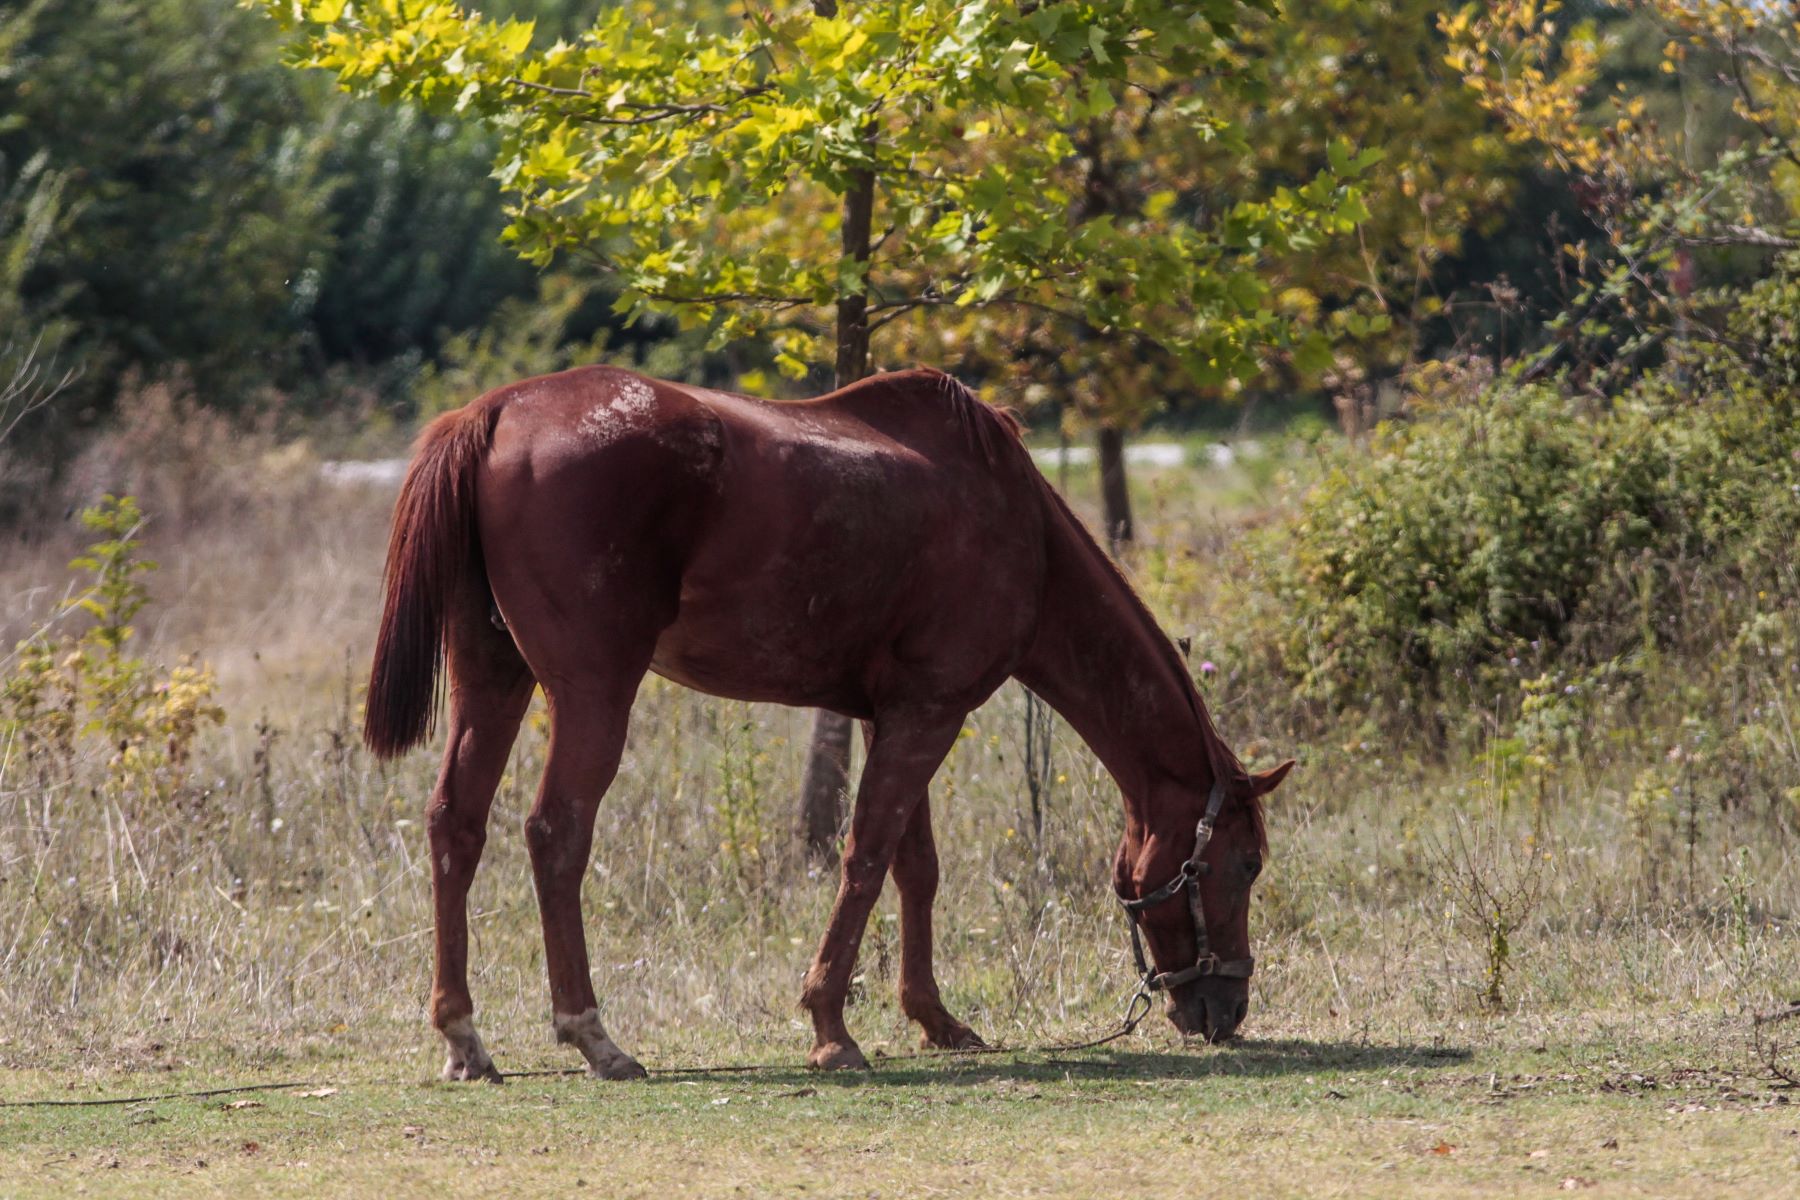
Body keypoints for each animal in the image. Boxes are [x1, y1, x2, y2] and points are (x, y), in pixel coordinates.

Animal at [365, 363, 1296, 1079]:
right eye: (1245, 863)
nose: (1228, 1007)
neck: (1018, 523)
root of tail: (497, 410)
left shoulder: (896, 714)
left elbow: (914, 868)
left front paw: (934, 1018)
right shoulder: (927, 714)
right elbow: (867, 858)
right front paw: (830, 1026)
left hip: (493, 680)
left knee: (456, 824)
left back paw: (463, 1036)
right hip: (593, 693)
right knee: (556, 833)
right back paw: (594, 1034)